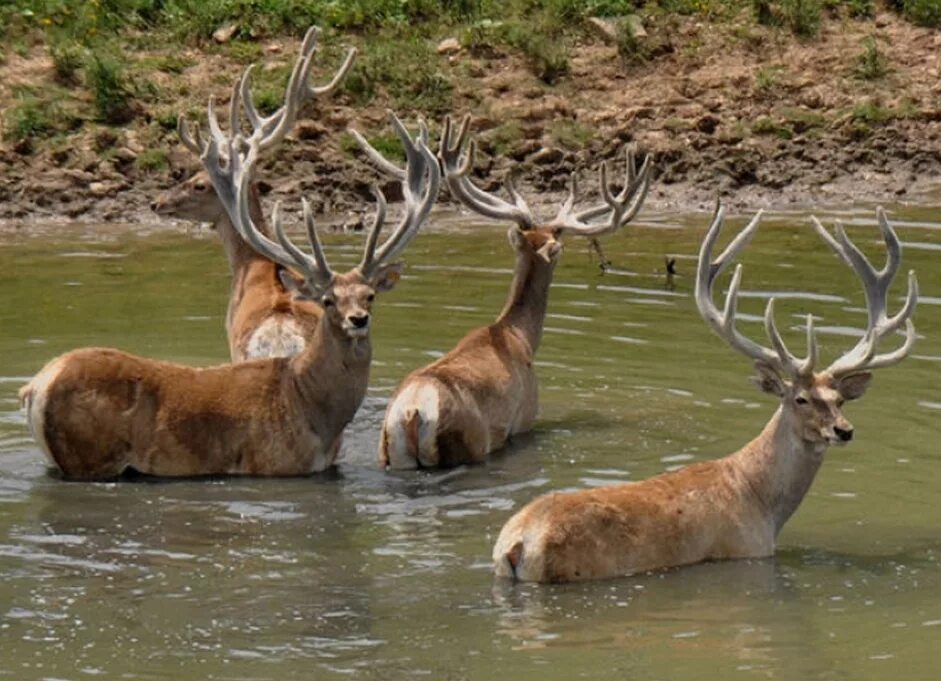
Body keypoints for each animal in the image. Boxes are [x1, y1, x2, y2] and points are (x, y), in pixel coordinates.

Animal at [15, 63, 440, 480]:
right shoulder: (271, 464)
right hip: (86, 456)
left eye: (370, 295)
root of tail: (35, 387)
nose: (358, 319)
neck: (309, 405)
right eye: (327, 300)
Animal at [492, 205, 916, 580]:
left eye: (839, 399)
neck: (761, 502)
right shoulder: (748, 551)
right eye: (800, 399)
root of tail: (516, 544)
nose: (844, 430)